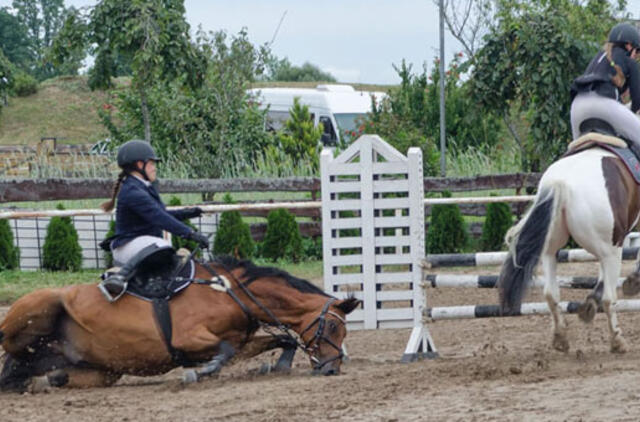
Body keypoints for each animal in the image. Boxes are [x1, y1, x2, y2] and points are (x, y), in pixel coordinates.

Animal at [0, 256, 360, 390]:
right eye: (332, 327)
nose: (332, 368)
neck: (229, 292)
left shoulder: (243, 340)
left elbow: (279, 340)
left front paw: (276, 365)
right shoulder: (188, 338)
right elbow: (223, 352)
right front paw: (198, 371)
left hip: (101, 372)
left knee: (34, 370)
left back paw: (41, 379)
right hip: (41, 305)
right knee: (7, 345)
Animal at [500, 134, 640, 352]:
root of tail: (562, 182)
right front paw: (633, 281)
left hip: (550, 251)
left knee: (551, 294)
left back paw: (561, 338)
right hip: (611, 250)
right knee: (609, 298)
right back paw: (617, 341)